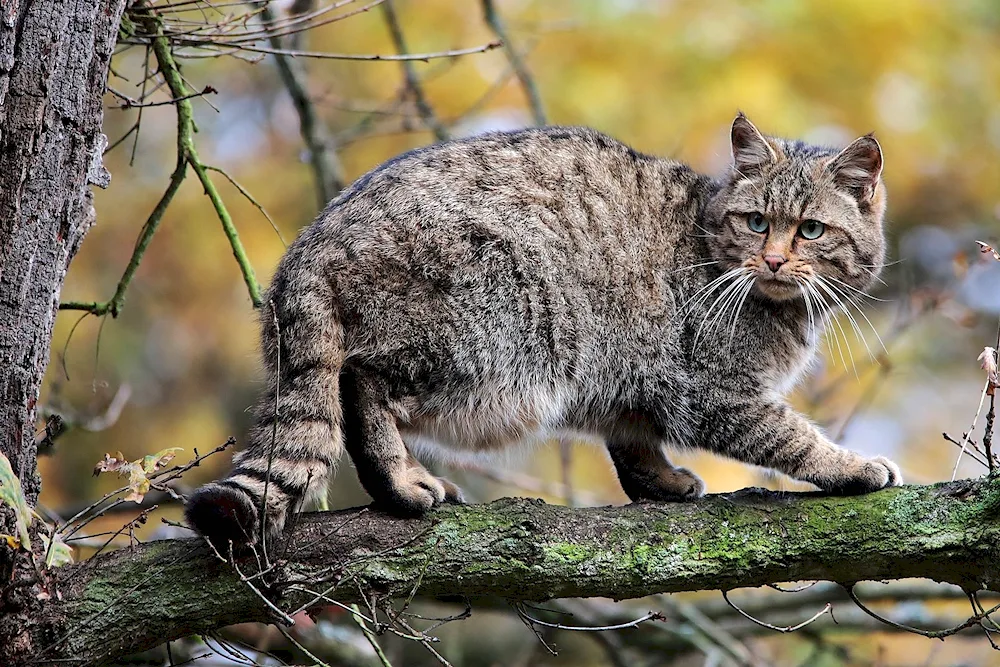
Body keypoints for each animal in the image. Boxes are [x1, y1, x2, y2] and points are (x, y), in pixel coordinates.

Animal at [184, 113, 904, 548]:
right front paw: (846, 465)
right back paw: (398, 478)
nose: (775, 259)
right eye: (757, 223)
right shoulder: (714, 387)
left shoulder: (636, 374)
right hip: (492, 333)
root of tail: (310, 244)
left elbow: (633, 436)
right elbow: (789, 435)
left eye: (810, 230)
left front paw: (658, 480)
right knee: (363, 384)